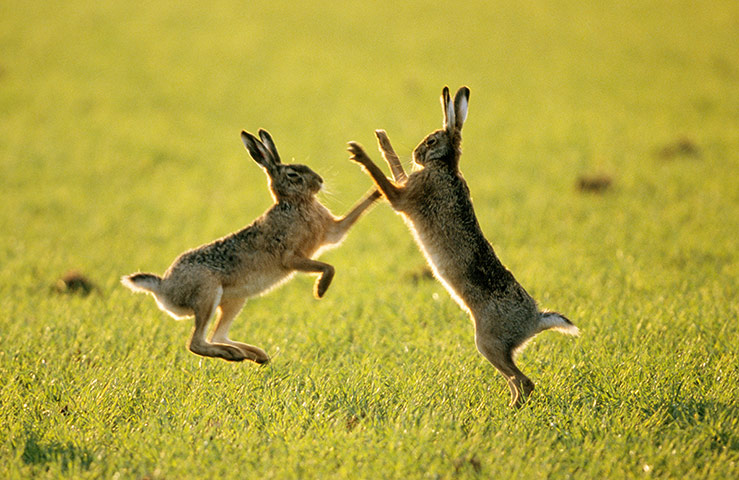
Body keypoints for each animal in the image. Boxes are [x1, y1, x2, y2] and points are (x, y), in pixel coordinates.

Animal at [122, 129, 381, 364]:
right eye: (293, 174)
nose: (320, 181)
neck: (294, 203)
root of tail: (164, 288)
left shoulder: (333, 231)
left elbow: (355, 214)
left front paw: (379, 189)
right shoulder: (292, 257)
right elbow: (327, 267)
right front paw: (320, 290)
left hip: (234, 301)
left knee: (217, 335)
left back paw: (255, 355)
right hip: (207, 293)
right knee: (196, 342)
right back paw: (235, 355)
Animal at [347, 86, 579, 407]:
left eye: (432, 141)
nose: (417, 153)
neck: (444, 167)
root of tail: (535, 320)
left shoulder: (406, 197)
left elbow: (385, 179)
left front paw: (359, 152)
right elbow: (395, 168)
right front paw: (382, 138)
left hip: (487, 342)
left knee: (524, 382)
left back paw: (511, 410)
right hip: (495, 347)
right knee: (516, 380)